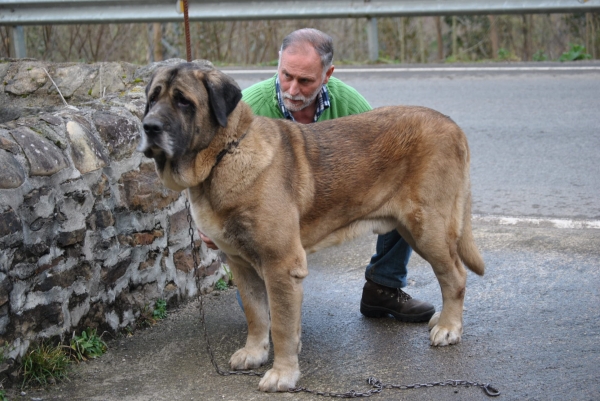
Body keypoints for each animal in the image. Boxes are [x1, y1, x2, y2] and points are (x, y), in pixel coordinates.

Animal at [138, 62, 486, 390]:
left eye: (183, 101)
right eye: (153, 97)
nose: (149, 127)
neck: (224, 154)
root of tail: (452, 125)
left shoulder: (280, 265)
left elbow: (280, 324)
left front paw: (282, 373)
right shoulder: (241, 265)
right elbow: (256, 314)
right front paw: (254, 352)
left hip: (426, 228)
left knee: (455, 276)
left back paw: (449, 328)